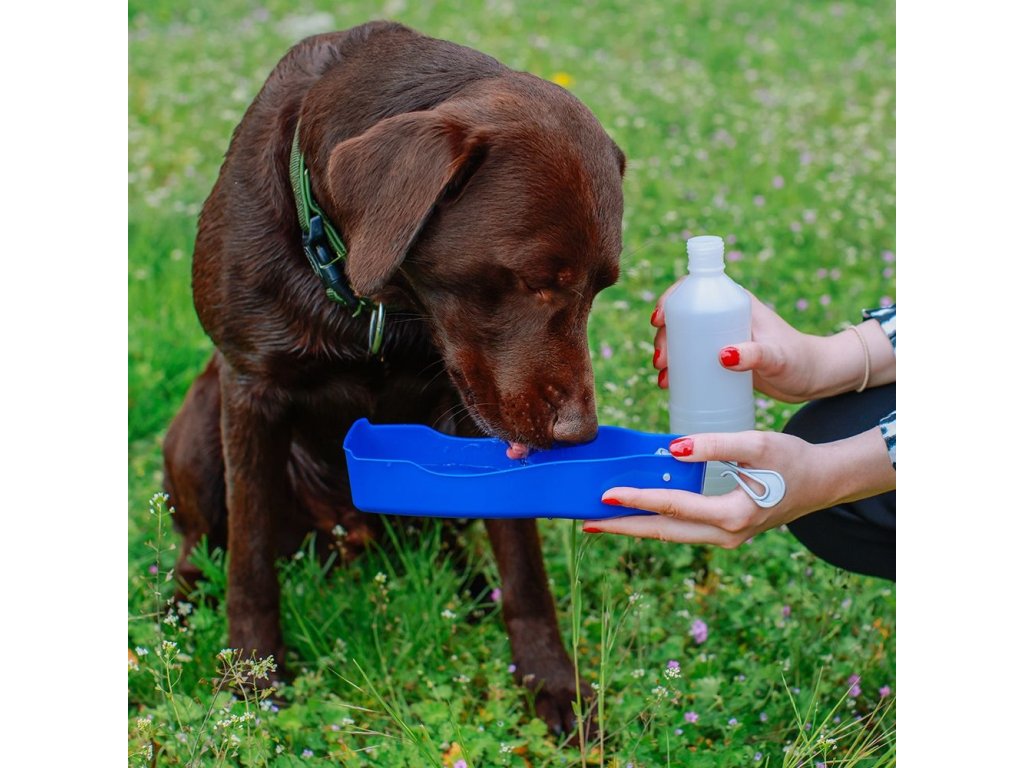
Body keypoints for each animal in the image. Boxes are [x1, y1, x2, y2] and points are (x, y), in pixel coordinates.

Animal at [162, 20, 624, 736]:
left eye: (602, 288)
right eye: (534, 281)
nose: (581, 433)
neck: (369, 297)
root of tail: (349, 536)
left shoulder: (476, 409)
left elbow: (524, 567)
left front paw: (551, 683)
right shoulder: (249, 389)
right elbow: (249, 561)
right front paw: (251, 683)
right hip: (201, 419)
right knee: (201, 542)